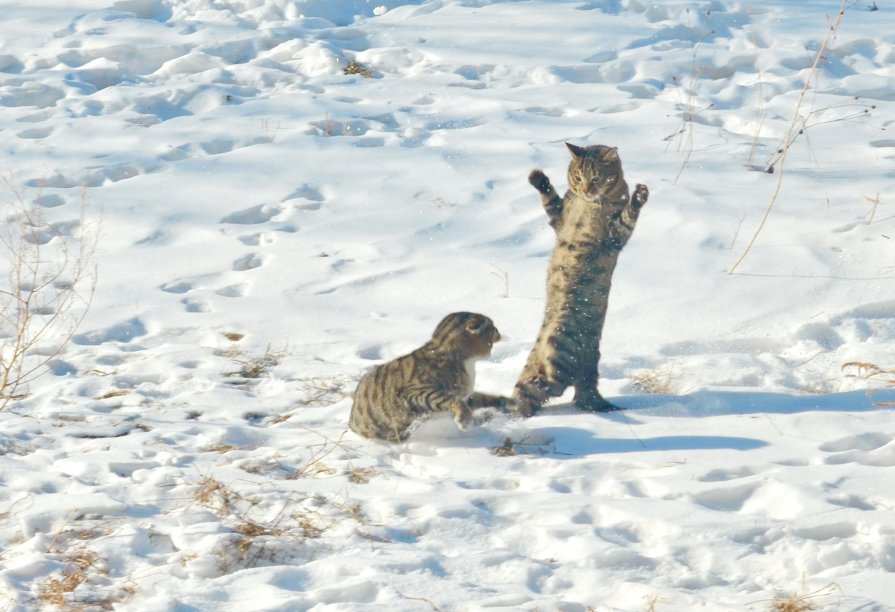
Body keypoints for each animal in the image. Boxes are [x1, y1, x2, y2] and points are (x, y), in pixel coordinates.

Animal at [352, 310, 516, 440]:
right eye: (492, 327)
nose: (500, 333)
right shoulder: (415, 391)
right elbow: (450, 400)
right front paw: (465, 421)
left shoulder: (466, 394)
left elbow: (481, 397)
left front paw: (508, 401)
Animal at [512, 143, 652, 416]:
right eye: (578, 177)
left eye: (596, 178)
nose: (586, 190)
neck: (588, 205)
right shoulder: (559, 218)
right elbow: (550, 200)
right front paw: (538, 178)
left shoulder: (615, 236)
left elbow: (629, 215)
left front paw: (640, 195)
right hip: (533, 364)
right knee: (532, 395)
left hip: (561, 342)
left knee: (559, 385)